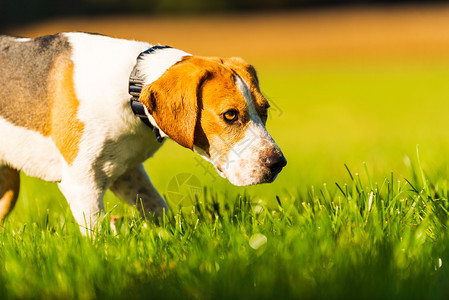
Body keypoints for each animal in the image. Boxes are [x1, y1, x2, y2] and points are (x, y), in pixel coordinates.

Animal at [0, 33, 288, 232]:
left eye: (264, 110)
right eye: (229, 115)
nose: (278, 163)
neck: (131, 84)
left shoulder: (127, 172)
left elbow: (156, 208)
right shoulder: (82, 182)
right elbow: (98, 235)